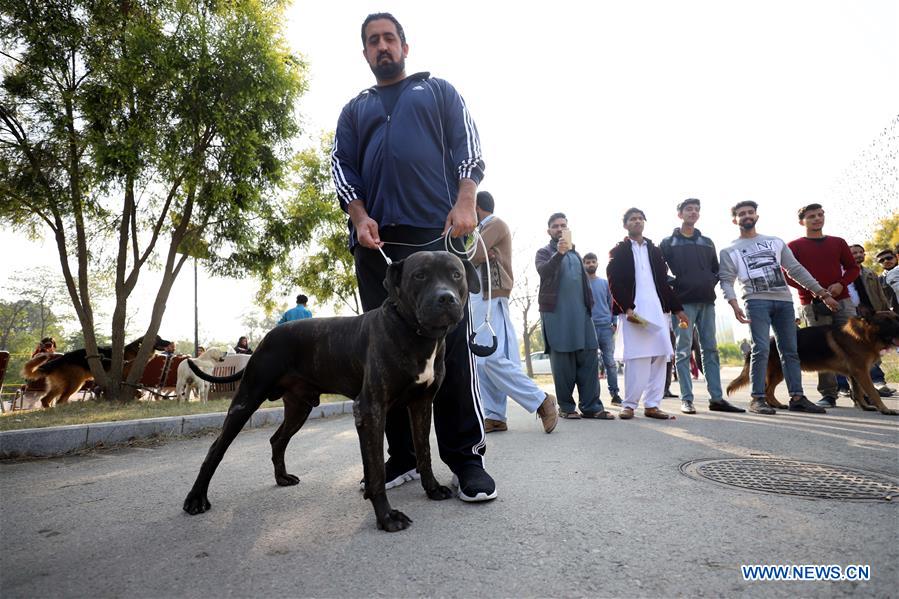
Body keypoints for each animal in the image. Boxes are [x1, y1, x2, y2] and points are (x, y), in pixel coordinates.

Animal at [180, 251, 482, 532]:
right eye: (419, 275)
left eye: (456, 275)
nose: (445, 298)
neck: (416, 333)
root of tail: (267, 337)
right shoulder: (371, 409)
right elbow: (375, 471)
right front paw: (386, 517)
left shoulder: (421, 404)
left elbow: (424, 451)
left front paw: (432, 488)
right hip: (246, 400)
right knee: (216, 449)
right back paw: (195, 498)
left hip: (299, 408)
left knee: (277, 440)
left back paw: (282, 478)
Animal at [728, 312, 899, 414]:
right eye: (887, 321)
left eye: (895, 318)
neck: (862, 335)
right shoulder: (861, 373)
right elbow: (873, 392)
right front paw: (885, 409)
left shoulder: (854, 374)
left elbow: (858, 393)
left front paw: (864, 406)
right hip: (778, 372)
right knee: (767, 390)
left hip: (779, 373)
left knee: (768, 390)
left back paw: (776, 405)